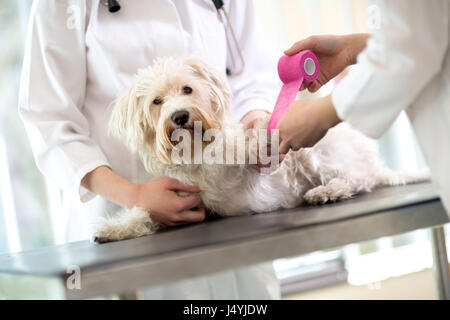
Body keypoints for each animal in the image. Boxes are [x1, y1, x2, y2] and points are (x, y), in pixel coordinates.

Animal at [93, 57, 428, 242]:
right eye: (157, 101)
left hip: (317, 155)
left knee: (358, 180)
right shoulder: (179, 200)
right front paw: (114, 229)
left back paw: (326, 191)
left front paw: (261, 133)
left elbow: (247, 145)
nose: (180, 116)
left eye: (187, 89)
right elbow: (144, 214)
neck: (195, 154)